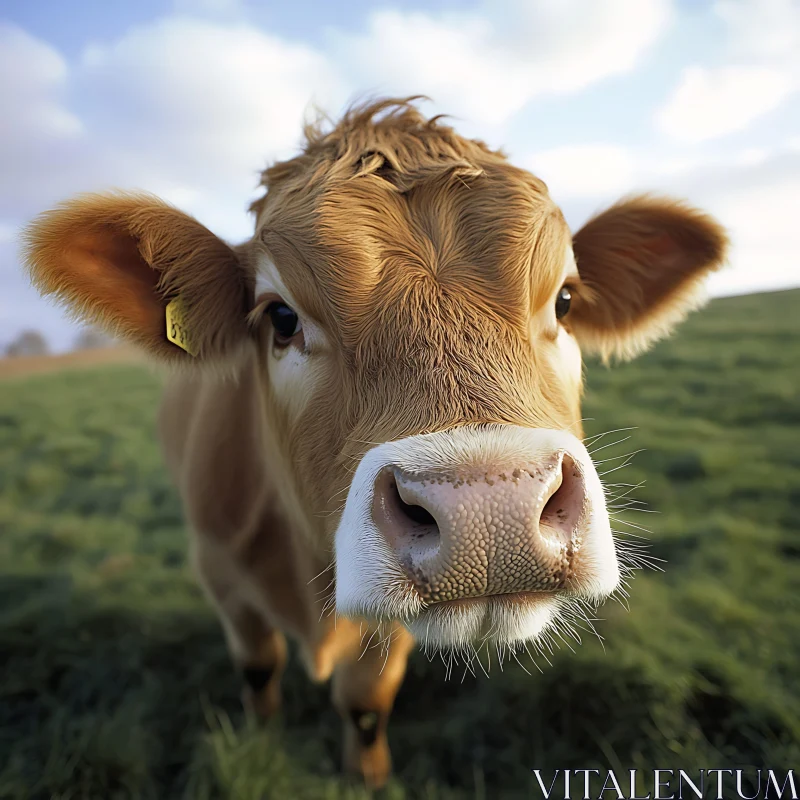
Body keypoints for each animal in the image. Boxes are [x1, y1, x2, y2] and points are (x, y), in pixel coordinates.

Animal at [21, 98, 728, 788]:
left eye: (565, 300)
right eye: (281, 317)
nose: (490, 513)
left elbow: (365, 701)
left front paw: (368, 775)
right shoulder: (219, 571)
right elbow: (258, 669)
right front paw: (259, 741)